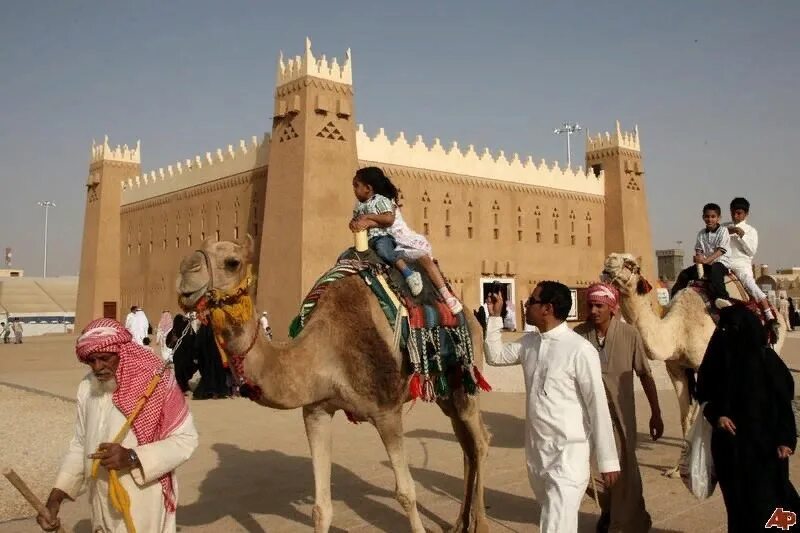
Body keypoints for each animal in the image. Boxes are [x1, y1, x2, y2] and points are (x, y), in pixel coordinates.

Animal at [176, 237, 490, 532]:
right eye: (197, 250)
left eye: (233, 262)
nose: (185, 272)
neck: (328, 347)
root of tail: (468, 313)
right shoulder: (317, 410)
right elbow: (321, 508)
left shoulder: (387, 410)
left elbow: (406, 493)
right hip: (446, 391)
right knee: (466, 445)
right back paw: (460, 523)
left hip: (466, 376)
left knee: (479, 443)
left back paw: (481, 524)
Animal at [600, 251, 788, 476]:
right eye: (614, 257)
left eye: (630, 263)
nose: (608, 262)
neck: (679, 331)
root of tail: (777, 313)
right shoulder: (676, 369)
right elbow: (686, 417)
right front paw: (676, 469)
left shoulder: (706, 367)